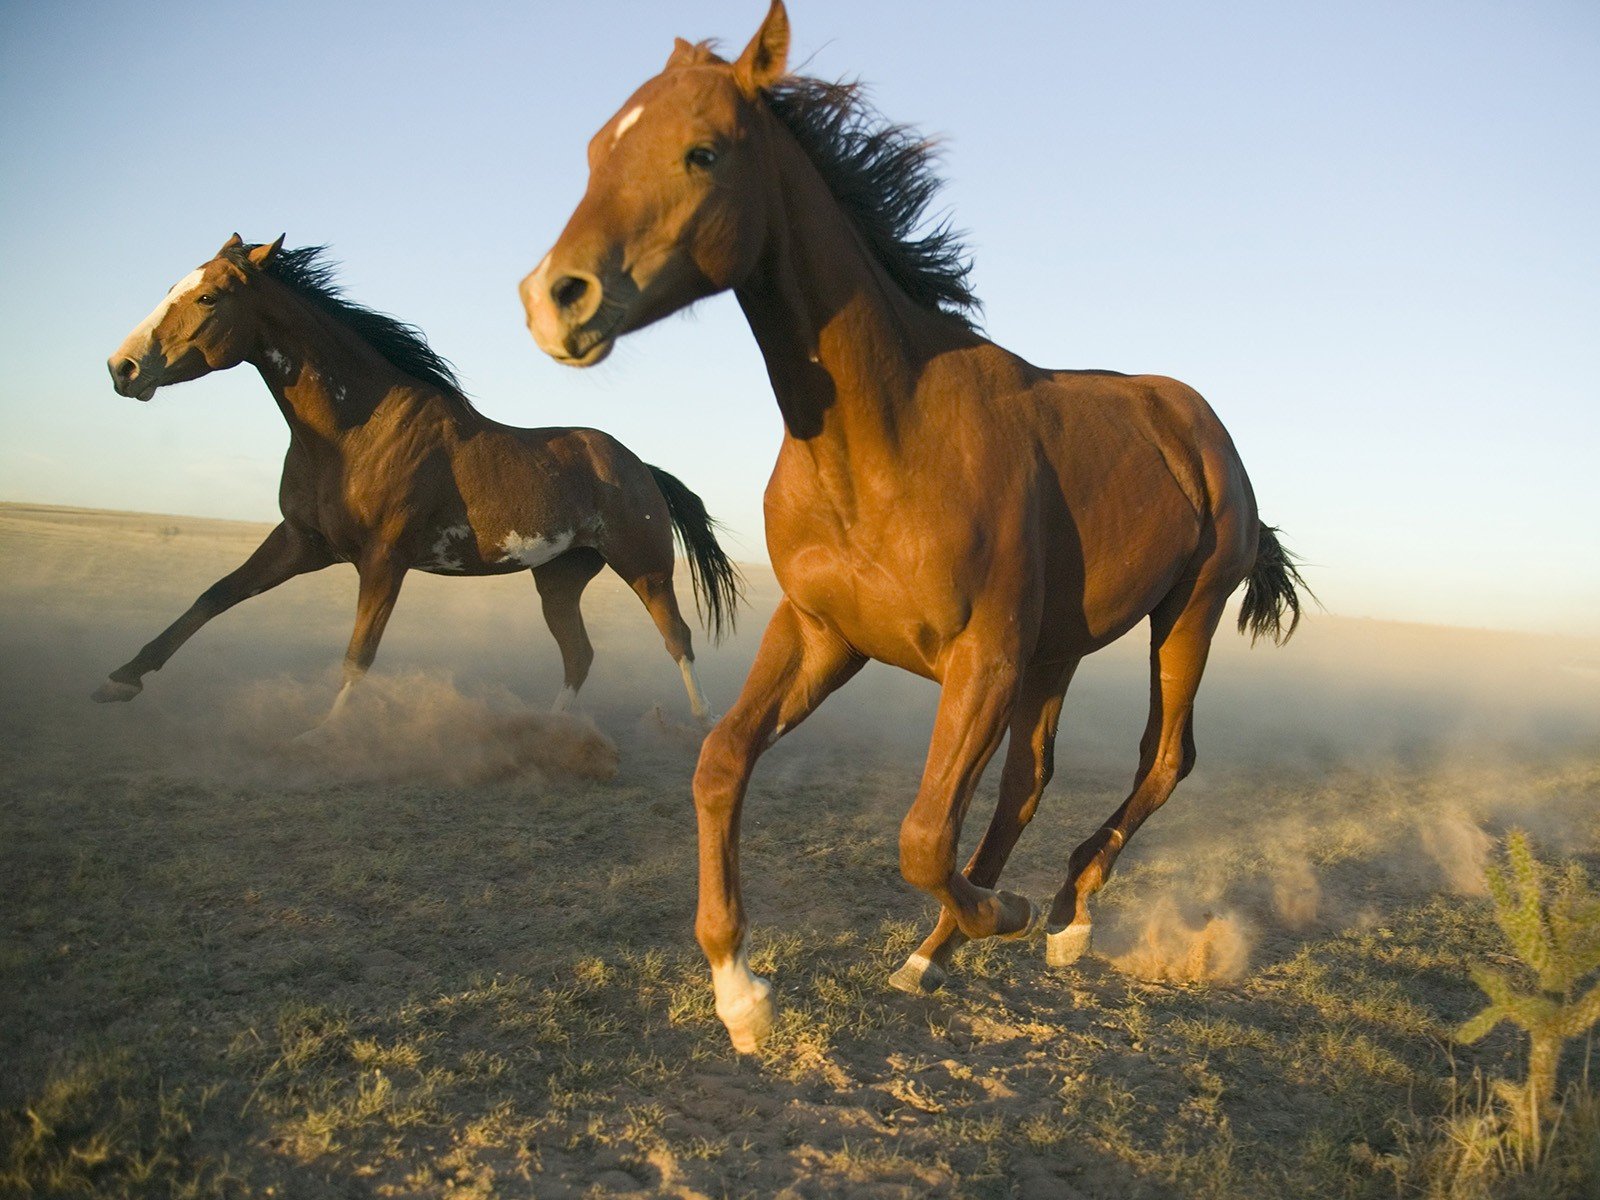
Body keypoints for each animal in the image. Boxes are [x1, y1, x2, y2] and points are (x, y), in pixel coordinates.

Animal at [100, 234, 741, 727]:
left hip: (645, 567)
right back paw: (550, 730)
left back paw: (703, 722)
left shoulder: (384, 559)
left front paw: (324, 734)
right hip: (559, 579)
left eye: (209, 296)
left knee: (677, 638)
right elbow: (213, 596)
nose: (121, 367)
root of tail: (640, 467)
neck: (355, 431)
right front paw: (119, 680)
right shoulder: (302, 542)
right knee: (579, 654)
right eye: (172, 288)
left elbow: (359, 653)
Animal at [519, 0, 1309, 1052]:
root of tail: (1196, 421)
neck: (886, 440)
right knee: (1027, 781)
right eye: (597, 148)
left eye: (702, 151)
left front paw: (1005, 913)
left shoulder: (981, 661)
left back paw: (1064, 915)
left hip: (1185, 614)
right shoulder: (823, 633)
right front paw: (740, 992)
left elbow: (924, 837)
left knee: (1161, 760)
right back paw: (936, 953)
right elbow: (723, 762)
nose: (553, 298)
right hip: (1056, 651)